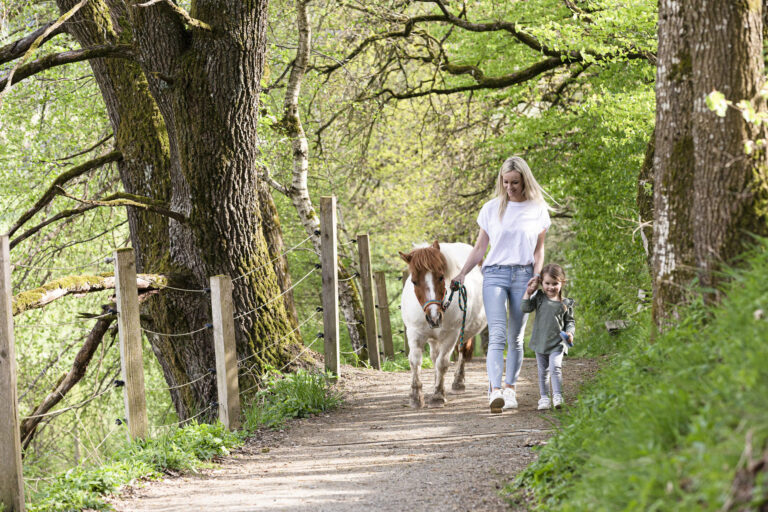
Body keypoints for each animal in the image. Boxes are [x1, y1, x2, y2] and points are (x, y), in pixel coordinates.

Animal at [402, 240, 486, 408]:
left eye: (441, 277)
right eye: (414, 281)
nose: (433, 317)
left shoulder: (451, 335)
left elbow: (442, 363)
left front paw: (438, 395)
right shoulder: (414, 333)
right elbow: (415, 361)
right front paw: (416, 396)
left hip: (463, 333)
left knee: (461, 351)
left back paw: (458, 382)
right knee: (435, 356)